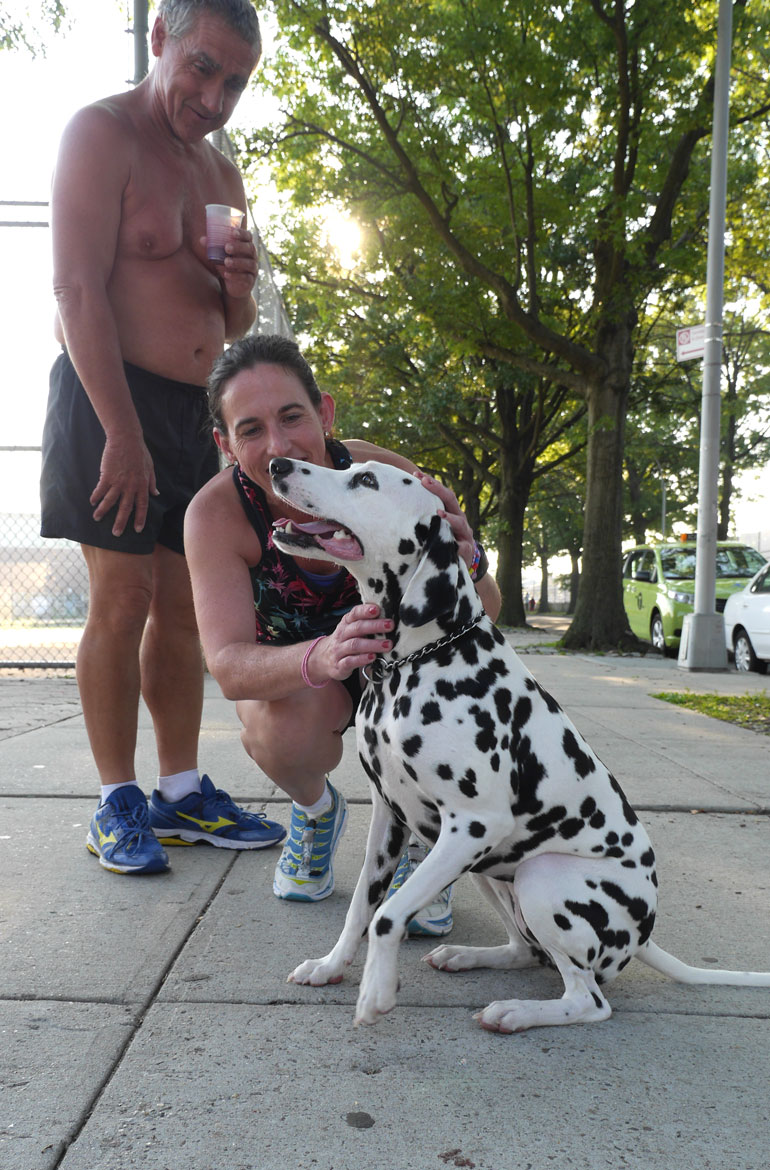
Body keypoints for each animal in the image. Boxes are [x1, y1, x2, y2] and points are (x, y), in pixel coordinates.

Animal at [266, 456, 762, 1034]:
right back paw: (468, 957)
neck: (417, 660)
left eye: (366, 480)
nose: (277, 464)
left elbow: (388, 915)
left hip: (538, 876)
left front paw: (375, 991)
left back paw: (518, 1011)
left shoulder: (473, 824)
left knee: (588, 999)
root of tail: (644, 935)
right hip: (489, 869)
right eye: (349, 465)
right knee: (526, 951)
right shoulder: (391, 819)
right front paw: (330, 966)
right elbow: (361, 909)